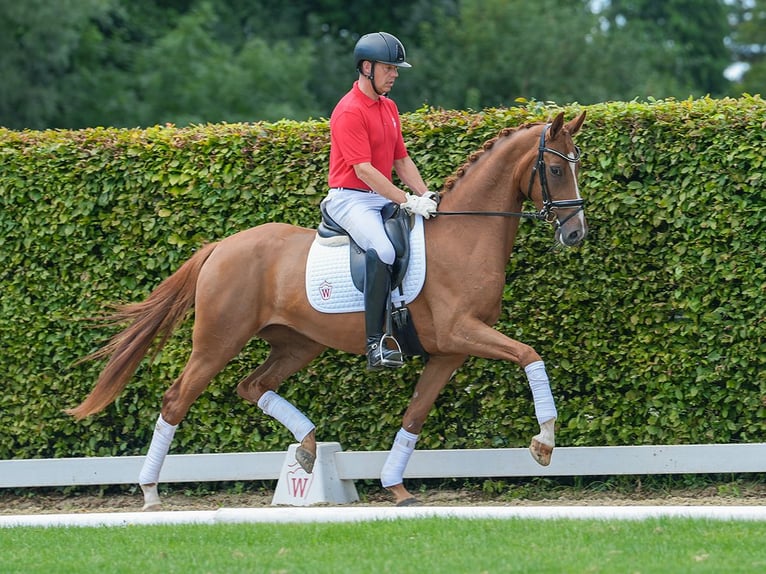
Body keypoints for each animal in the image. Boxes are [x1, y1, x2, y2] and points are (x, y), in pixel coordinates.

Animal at [69, 109, 592, 508]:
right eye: (556, 170)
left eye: (577, 165)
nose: (575, 233)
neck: (465, 235)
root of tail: (221, 247)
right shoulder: (461, 332)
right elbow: (529, 355)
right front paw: (544, 442)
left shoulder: (450, 351)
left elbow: (414, 417)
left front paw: (396, 487)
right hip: (218, 342)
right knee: (177, 400)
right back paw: (151, 492)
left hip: (297, 345)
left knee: (252, 386)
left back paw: (305, 448)